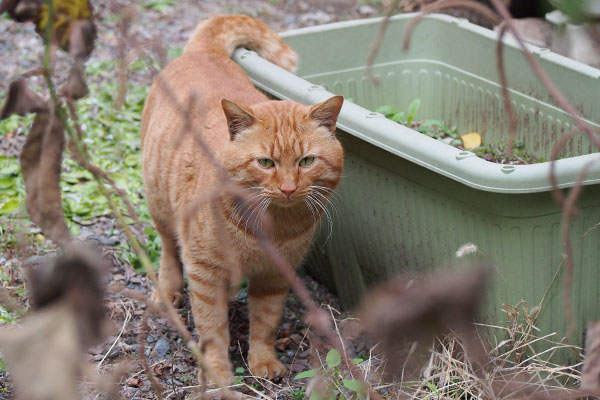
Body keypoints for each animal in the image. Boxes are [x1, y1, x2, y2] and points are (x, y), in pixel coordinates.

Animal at [141, 14, 344, 382]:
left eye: (306, 161)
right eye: (265, 163)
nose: (288, 187)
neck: (273, 227)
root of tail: (203, 51)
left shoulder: (276, 275)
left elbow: (265, 323)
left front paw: (262, 361)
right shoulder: (204, 273)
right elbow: (213, 329)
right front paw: (219, 374)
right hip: (159, 205)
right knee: (168, 249)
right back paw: (169, 289)